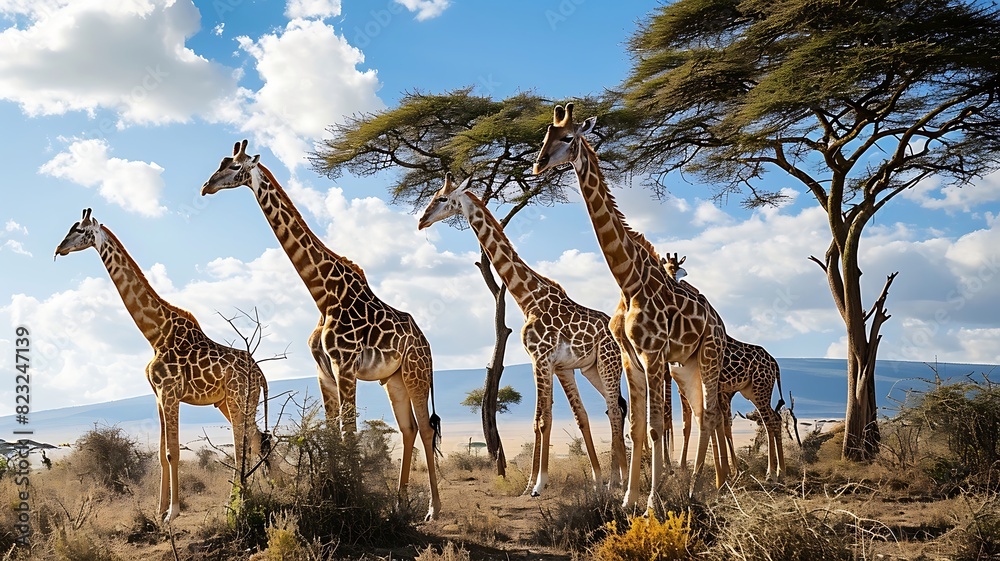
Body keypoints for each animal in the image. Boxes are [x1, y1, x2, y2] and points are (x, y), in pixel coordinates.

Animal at [54, 208, 268, 523]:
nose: (59, 248)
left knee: (245, 444)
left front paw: (173, 512)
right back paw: (260, 491)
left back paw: (237, 502)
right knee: (258, 438)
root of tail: (261, 374)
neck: (156, 333)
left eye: (80, 231)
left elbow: (173, 453)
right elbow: (160, 454)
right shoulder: (157, 396)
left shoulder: (170, 393)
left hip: (239, 398)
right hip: (230, 402)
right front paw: (158, 510)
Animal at [200, 140, 442, 520]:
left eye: (235, 167)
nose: (206, 186)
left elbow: (349, 433)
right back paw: (399, 504)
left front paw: (354, 500)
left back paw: (433, 509)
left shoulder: (346, 367)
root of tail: (427, 344)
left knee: (427, 429)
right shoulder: (323, 372)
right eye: (220, 163)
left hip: (416, 373)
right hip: (395, 379)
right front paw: (334, 494)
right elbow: (332, 434)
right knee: (409, 428)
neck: (324, 296)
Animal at [418, 173, 630, 496]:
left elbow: (543, 420)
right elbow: (546, 419)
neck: (528, 297)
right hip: (591, 368)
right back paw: (613, 479)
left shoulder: (542, 359)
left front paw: (539, 485)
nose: (421, 221)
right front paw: (532, 481)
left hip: (609, 363)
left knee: (616, 411)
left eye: (442, 198)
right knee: (611, 408)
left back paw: (621, 480)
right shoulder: (551, 364)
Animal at [534, 103, 730, 509]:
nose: (538, 164)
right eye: (545, 136)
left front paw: (653, 502)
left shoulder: (653, 354)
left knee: (711, 413)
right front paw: (627, 499)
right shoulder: (629, 357)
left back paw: (705, 488)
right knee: (702, 413)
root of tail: (719, 321)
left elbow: (655, 427)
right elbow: (638, 427)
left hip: (709, 354)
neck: (627, 280)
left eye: (568, 137)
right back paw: (706, 484)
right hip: (686, 365)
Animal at [661, 253, 786, 481]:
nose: (673, 277)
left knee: (770, 421)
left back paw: (772, 473)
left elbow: (714, 423)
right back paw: (779, 470)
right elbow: (692, 424)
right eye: (667, 266)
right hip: (752, 391)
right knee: (775, 419)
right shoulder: (689, 388)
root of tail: (775, 364)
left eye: (677, 267)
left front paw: (725, 472)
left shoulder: (714, 388)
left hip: (760, 389)